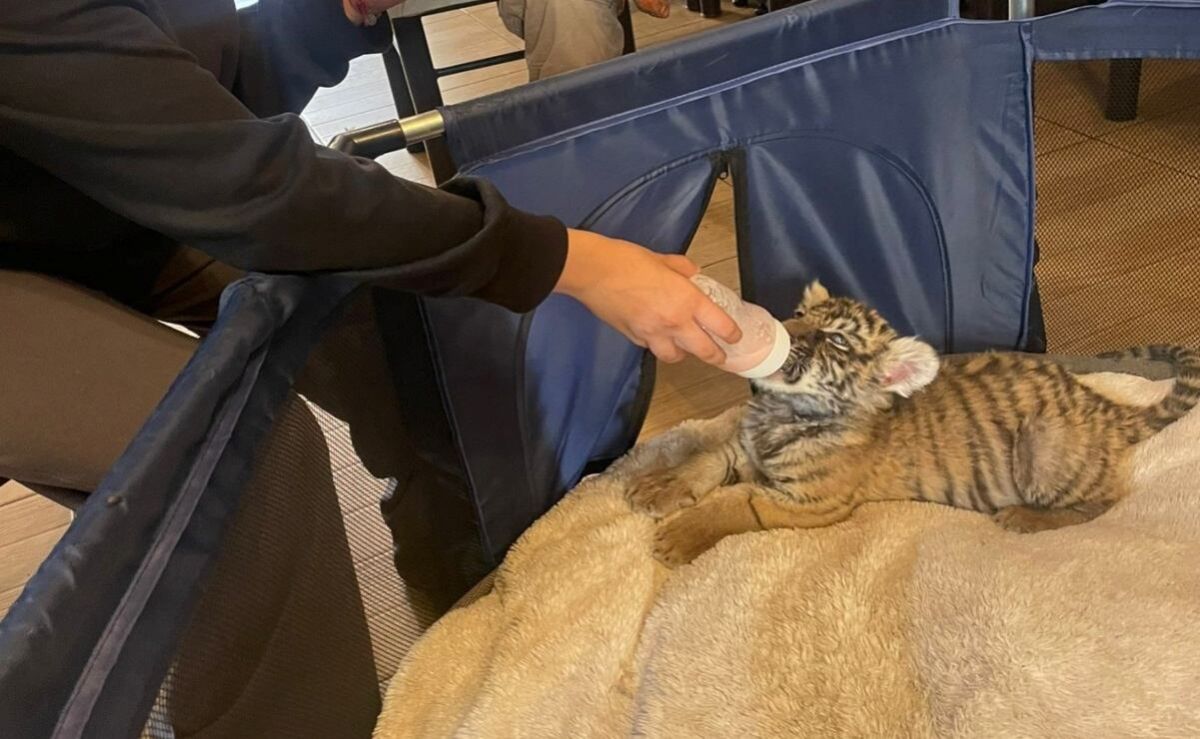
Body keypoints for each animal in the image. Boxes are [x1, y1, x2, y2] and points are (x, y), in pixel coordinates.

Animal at [628, 280, 1200, 567]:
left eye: (836, 340)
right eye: (800, 315)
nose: (783, 331)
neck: (785, 411)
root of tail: (1100, 404)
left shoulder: (812, 502)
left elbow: (735, 503)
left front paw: (677, 538)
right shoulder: (742, 449)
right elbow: (704, 461)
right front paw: (657, 486)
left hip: (1044, 446)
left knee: (1102, 502)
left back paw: (1024, 518)